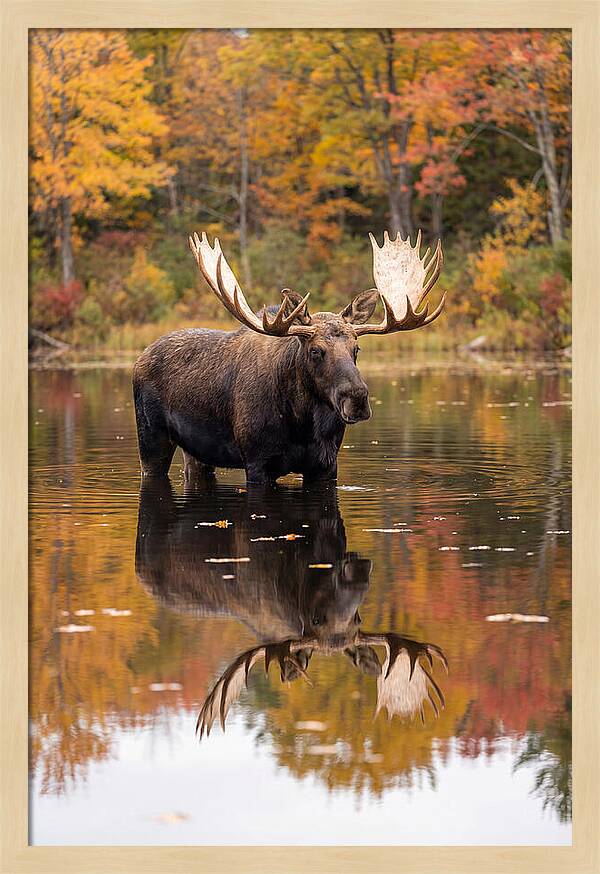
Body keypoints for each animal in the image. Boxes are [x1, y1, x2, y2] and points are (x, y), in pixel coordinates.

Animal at [132, 230, 445, 485]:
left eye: (356, 349)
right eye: (315, 350)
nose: (356, 398)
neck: (302, 424)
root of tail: (140, 357)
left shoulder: (326, 465)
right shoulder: (257, 462)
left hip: (196, 452)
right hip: (151, 439)